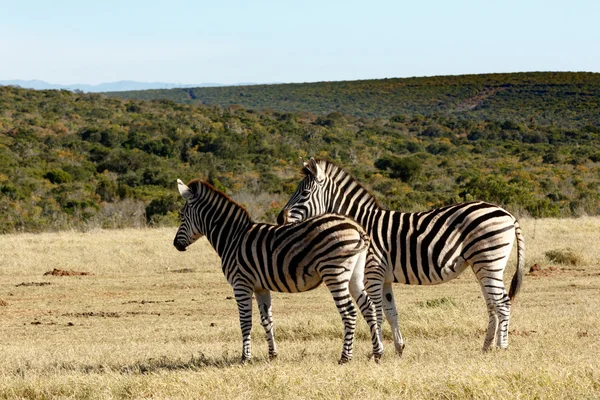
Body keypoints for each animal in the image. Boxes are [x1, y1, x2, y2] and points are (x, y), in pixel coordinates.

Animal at [173, 178, 382, 362]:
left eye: (182, 216)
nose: (176, 245)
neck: (232, 238)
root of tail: (356, 228)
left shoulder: (241, 284)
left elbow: (245, 322)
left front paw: (245, 358)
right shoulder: (260, 287)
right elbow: (267, 320)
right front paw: (273, 355)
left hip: (334, 273)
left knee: (349, 312)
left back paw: (345, 357)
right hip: (355, 275)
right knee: (369, 307)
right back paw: (377, 353)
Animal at [276, 158, 524, 354]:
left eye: (304, 193)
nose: (280, 219)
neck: (362, 225)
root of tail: (508, 214)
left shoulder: (372, 274)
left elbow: (375, 313)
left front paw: (377, 352)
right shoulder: (384, 279)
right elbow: (390, 312)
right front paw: (398, 348)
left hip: (489, 261)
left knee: (502, 302)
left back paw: (501, 347)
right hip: (482, 265)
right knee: (492, 304)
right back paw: (486, 346)